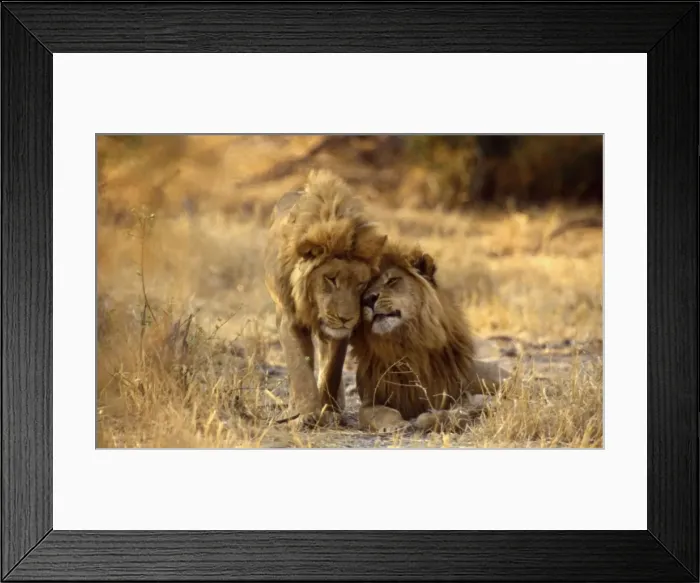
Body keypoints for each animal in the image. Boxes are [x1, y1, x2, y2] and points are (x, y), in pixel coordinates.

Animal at [264, 169, 388, 428]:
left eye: (361, 284)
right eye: (330, 279)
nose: (346, 318)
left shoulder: (341, 332)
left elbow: (332, 368)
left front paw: (329, 410)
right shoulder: (288, 318)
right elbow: (300, 366)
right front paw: (308, 413)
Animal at [349, 240, 511, 433]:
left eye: (392, 280)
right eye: (364, 289)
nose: (368, 299)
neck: (402, 341)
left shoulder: (452, 395)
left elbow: (454, 411)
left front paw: (430, 419)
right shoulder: (371, 398)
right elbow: (376, 413)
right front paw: (395, 424)